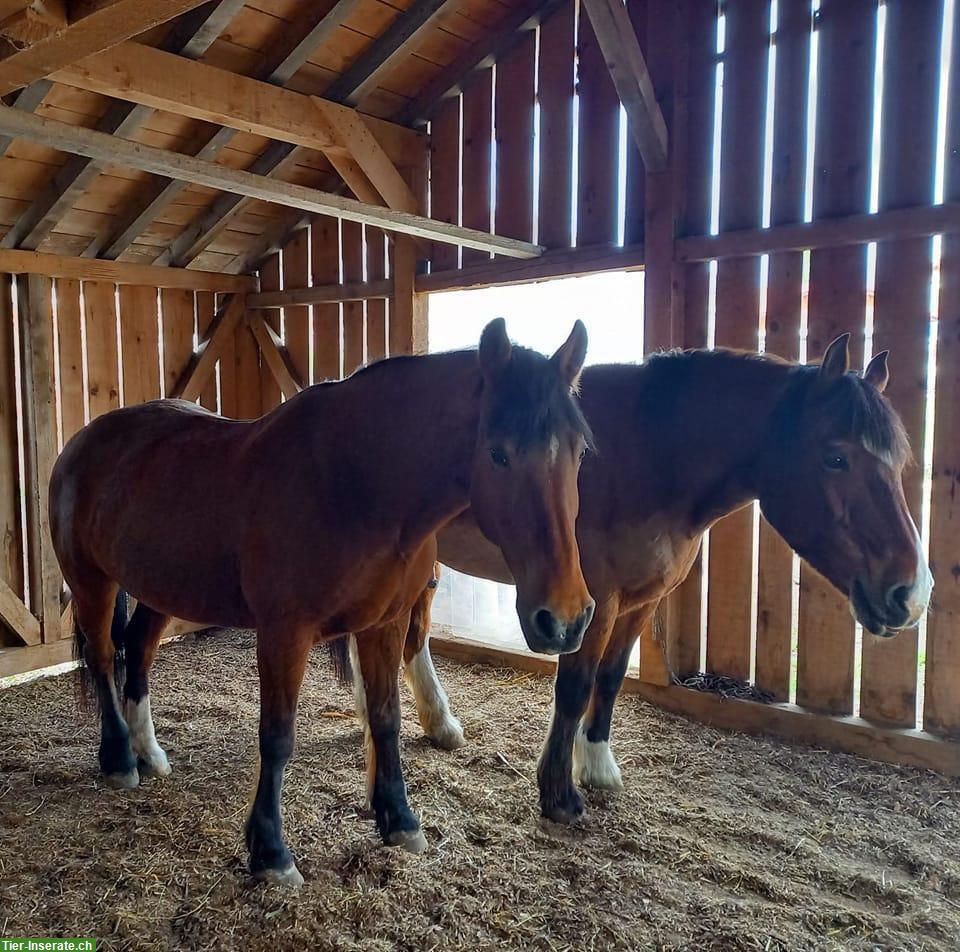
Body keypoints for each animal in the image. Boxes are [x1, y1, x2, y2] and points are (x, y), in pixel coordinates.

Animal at [52, 318, 596, 884]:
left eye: (579, 450)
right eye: (498, 453)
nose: (564, 619)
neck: (354, 484)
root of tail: (84, 441)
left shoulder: (384, 625)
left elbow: (385, 718)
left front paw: (399, 819)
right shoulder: (284, 635)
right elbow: (277, 736)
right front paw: (270, 851)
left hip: (162, 588)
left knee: (137, 649)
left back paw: (149, 752)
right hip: (92, 581)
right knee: (102, 657)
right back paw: (119, 758)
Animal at [388, 338, 928, 820]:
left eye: (900, 462)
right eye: (836, 457)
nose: (913, 593)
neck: (648, 455)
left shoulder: (642, 601)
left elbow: (609, 678)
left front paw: (598, 766)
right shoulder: (592, 604)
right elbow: (575, 686)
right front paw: (558, 794)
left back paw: (440, 724)